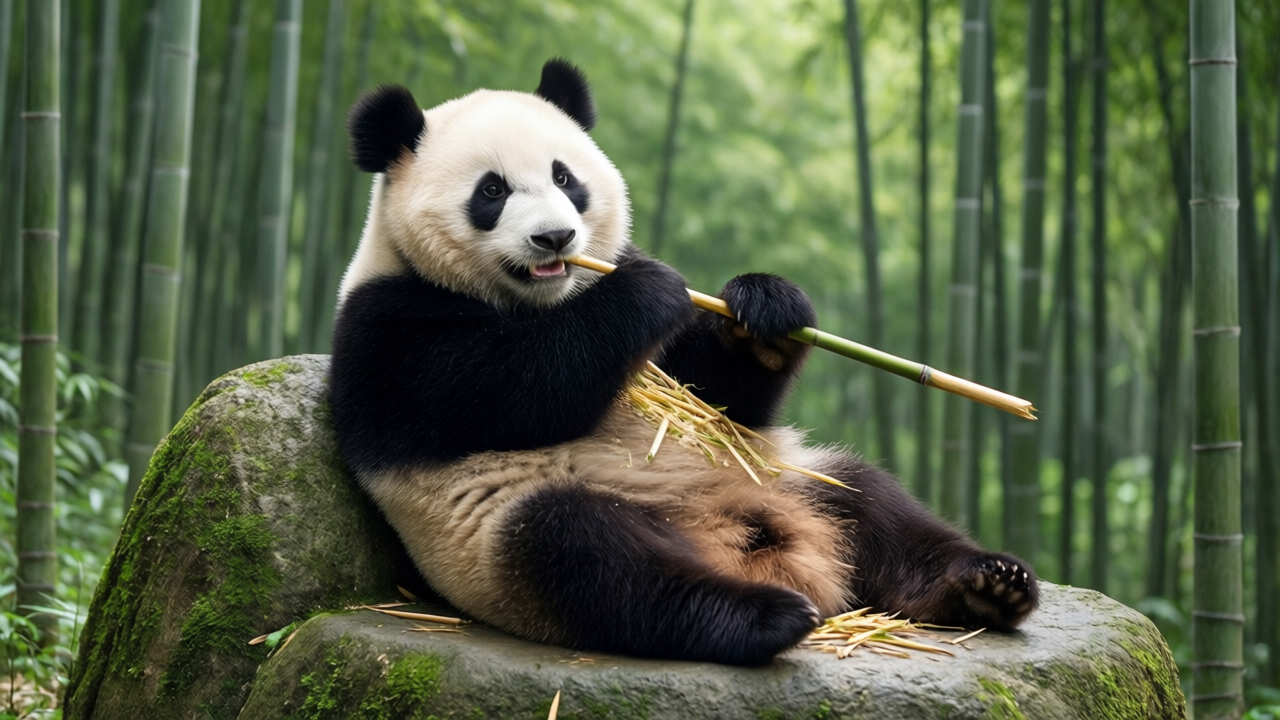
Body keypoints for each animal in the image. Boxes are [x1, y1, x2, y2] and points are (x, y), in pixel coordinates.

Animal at [329, 59, 1038, 667]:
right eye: (492, 190)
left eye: (565, 178)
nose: (556, 238)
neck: (543, 300)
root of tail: (746, 544)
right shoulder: (384, 329)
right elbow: (500, 393)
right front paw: (646, 291)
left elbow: (716, 392)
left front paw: (765, 307)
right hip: (496, 534)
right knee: (594, 559)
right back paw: (764, 617)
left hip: (788, 475)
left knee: (876, 505)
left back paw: (989, 585)